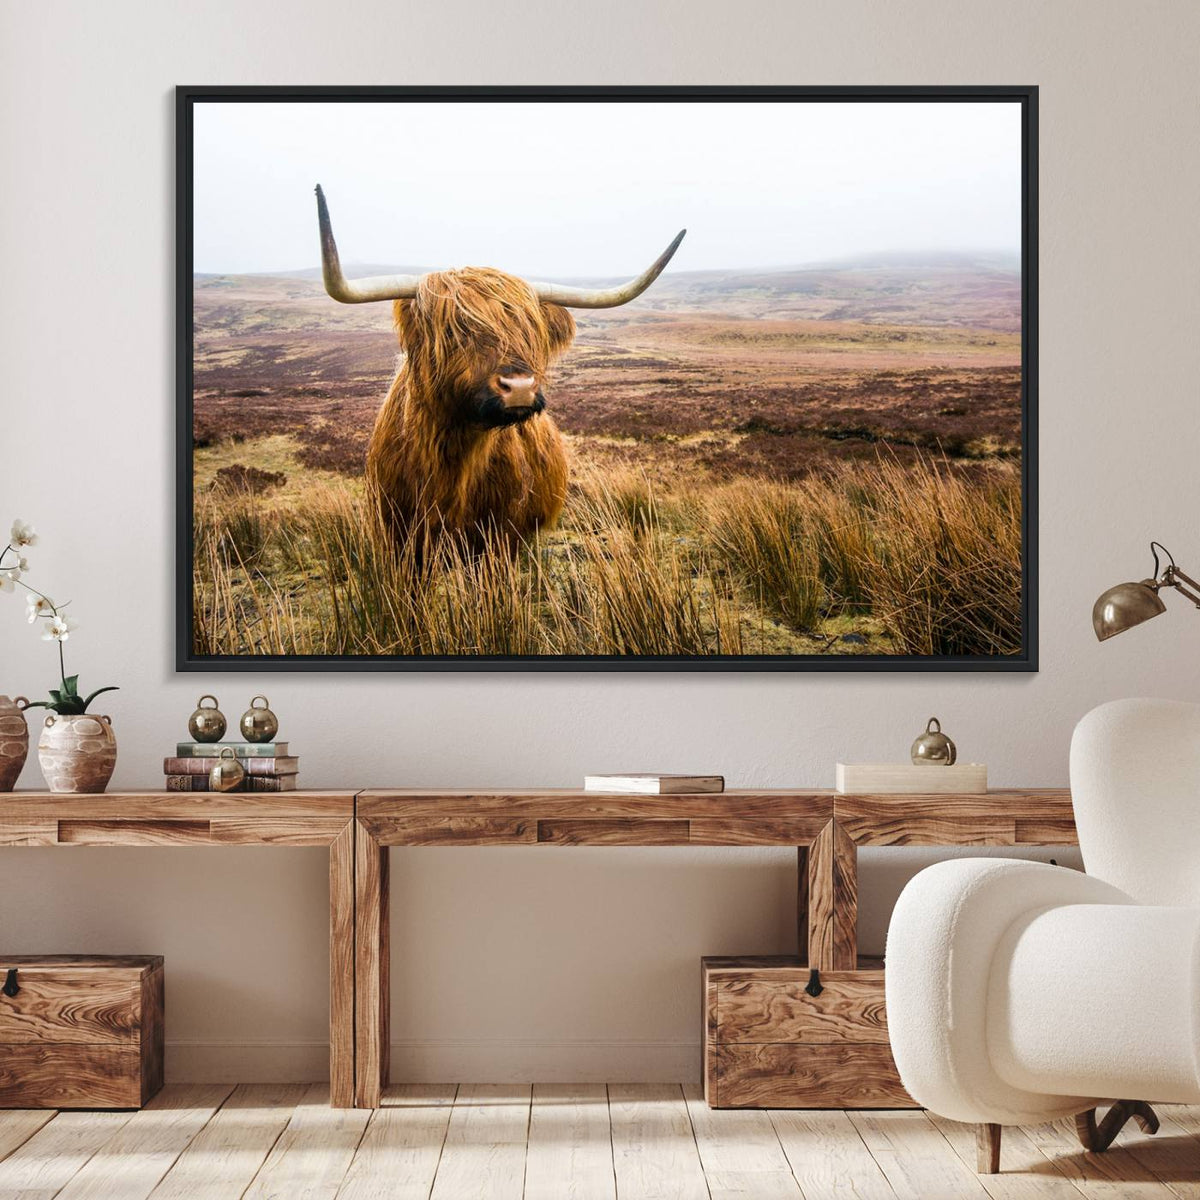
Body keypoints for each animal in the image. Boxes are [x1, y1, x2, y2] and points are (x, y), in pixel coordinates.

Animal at [314, 185, 685, 551]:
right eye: (454, 330)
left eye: (530, 332)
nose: (519, 388)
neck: (453, 459)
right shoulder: (396, 536)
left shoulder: (502, 537)